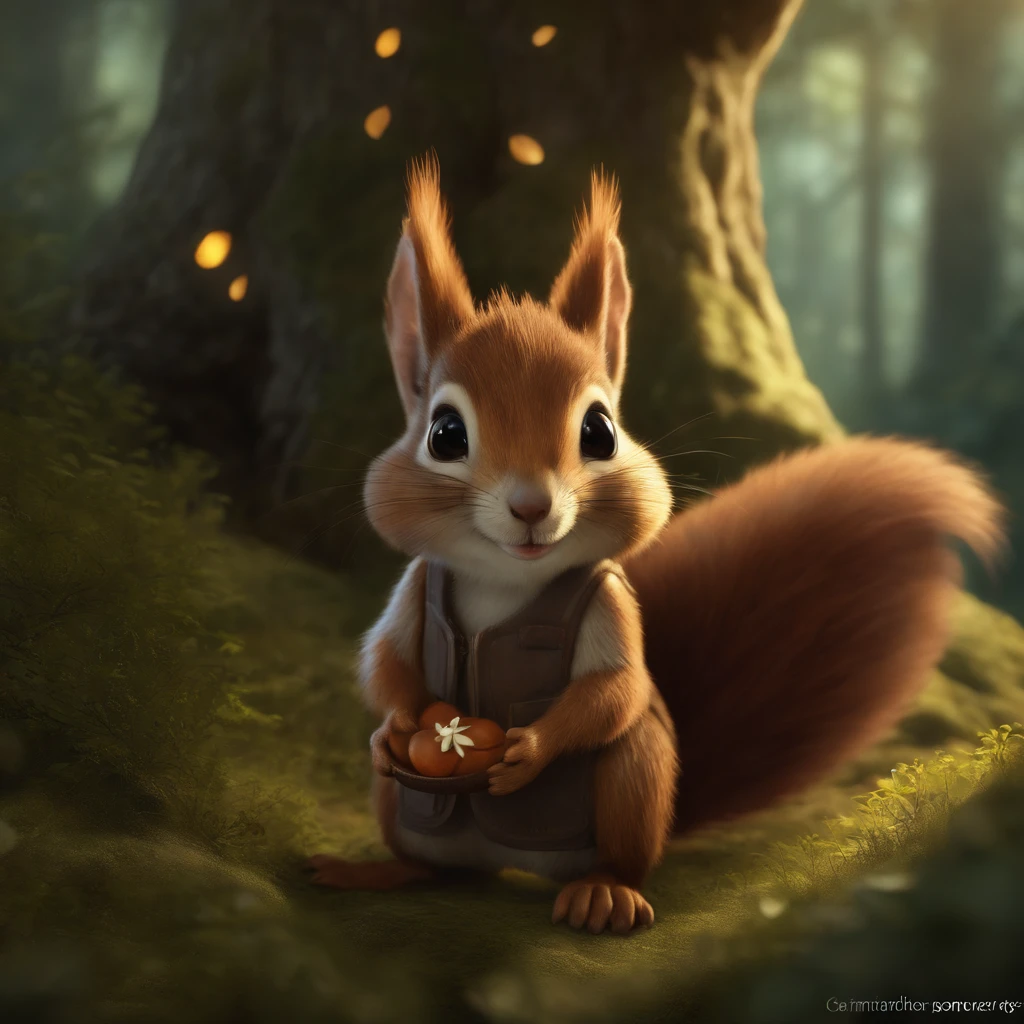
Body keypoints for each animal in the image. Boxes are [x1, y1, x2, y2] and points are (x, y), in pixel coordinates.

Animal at [305, 156, 1006, 936]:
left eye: (601, 432)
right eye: (444, 434)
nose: (531, 507)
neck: (504, 581)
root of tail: (506, 864)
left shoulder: (609, 595)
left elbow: (615, 688)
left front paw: (530, 749)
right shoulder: (417, 584)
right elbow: (385, 660)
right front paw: (397, 727)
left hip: (633, 781)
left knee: (620, 826)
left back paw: (603, 893)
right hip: (404, 809)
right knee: (433, 866)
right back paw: (376, 868)